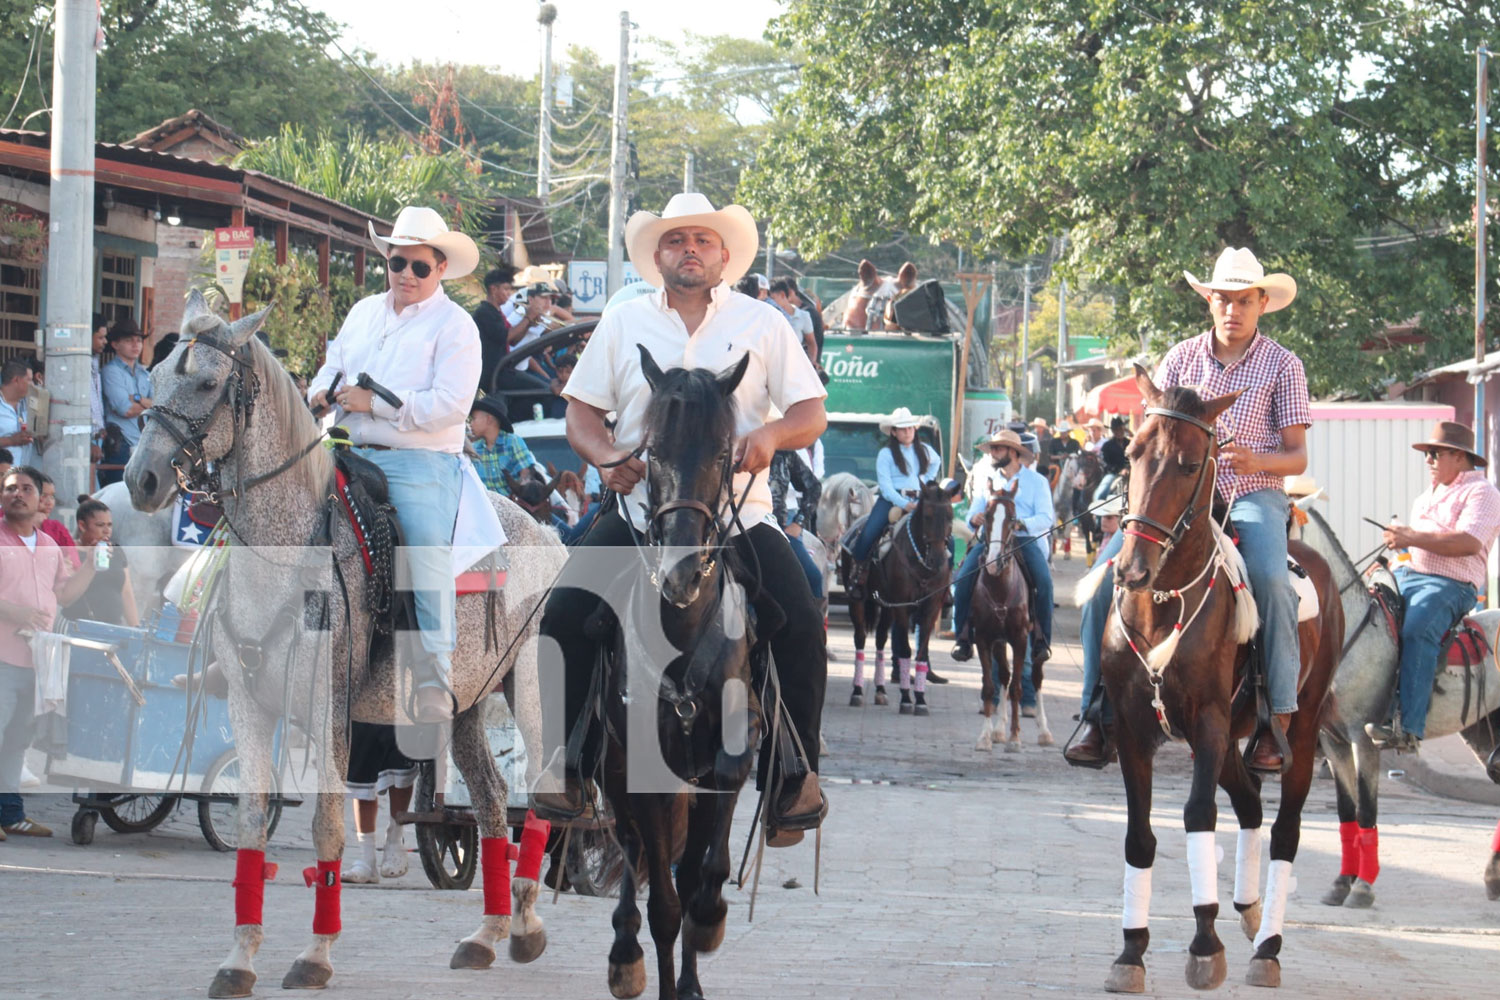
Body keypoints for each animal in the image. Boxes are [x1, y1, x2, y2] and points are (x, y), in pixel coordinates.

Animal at [121, 289, 567, 995]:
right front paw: (239, 959)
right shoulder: (249, 704)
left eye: (208, 382)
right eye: (159, 375)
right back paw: (487, 934)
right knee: (494, 802)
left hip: (529, 690)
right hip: (465, 704)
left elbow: (328, 826)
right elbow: (251, 823)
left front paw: (315, 954)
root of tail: (546, 531)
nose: (141, 479)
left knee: (541, 792)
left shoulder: (328, 707)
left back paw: (524, 926)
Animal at [597, 346, 762, 1000]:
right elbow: (665, 905)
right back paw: (625, 953)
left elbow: (700, 875)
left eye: (723, 454)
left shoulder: (729, 757)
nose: (681, 574)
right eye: (651, 453)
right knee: (630, 847)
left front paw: (710, 920)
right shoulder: (644, 770)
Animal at [972, 482, 1056, 749]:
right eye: (987, 516)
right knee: (1004, 676)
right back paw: (999, 730)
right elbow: (990, 687)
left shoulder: (1019, 639)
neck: (1000, 587)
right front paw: (985, 737)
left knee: (1036, 677)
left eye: (1011, 518)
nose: (993, 562)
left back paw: (1044, 731)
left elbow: (1019, 687)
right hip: (1000, 641)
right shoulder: (984, 639)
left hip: (1035, 640)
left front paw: (1016, 738)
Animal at [1098, 371, 1344, 995]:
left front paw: (1204, 945)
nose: (1132, 568)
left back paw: (1268, 947)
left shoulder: (1207, 724)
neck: (1163, 602)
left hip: (1298, 730)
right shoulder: (1133, 729)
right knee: (1252, 805)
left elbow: (1197, 816)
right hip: (1234, 737)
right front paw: (1131, 952)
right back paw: (1250, 910)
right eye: (1133, 454)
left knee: (1283, 831)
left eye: (1190, 464)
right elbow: (1139, 835)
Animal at [1296, 509, 1500, 905]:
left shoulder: (1363, 738)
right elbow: (1347, 809)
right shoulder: (1333, 740)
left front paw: (1362, 887)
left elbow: (1367, 808)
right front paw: (1341, 882)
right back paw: (1492, 878)